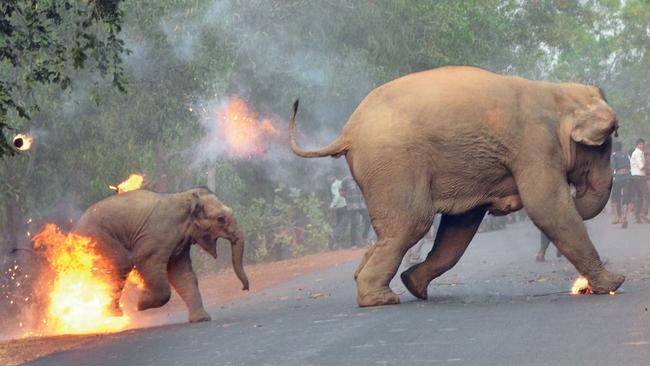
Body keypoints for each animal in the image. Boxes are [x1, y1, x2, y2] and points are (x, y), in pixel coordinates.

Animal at [73, 187, 248, 322]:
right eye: (221, 219)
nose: (244, 288)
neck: (186, 197)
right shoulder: (157, 237)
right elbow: (146, 262)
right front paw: (141, 303)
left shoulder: (180, 244)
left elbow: (182, 274)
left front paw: (202, 319)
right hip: (98, 238)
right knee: (122, 264)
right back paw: (113, 315)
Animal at [288, 65, 624, 306]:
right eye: (604, 147)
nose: (578, 192)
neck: (557, 92)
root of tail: (348, 131)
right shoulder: (535, 146)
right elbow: (547, 207)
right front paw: (614, 283)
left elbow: (460, 225)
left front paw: (414, 283)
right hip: (393, 163)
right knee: (413, 222)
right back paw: (380, 300)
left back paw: (384, 285)